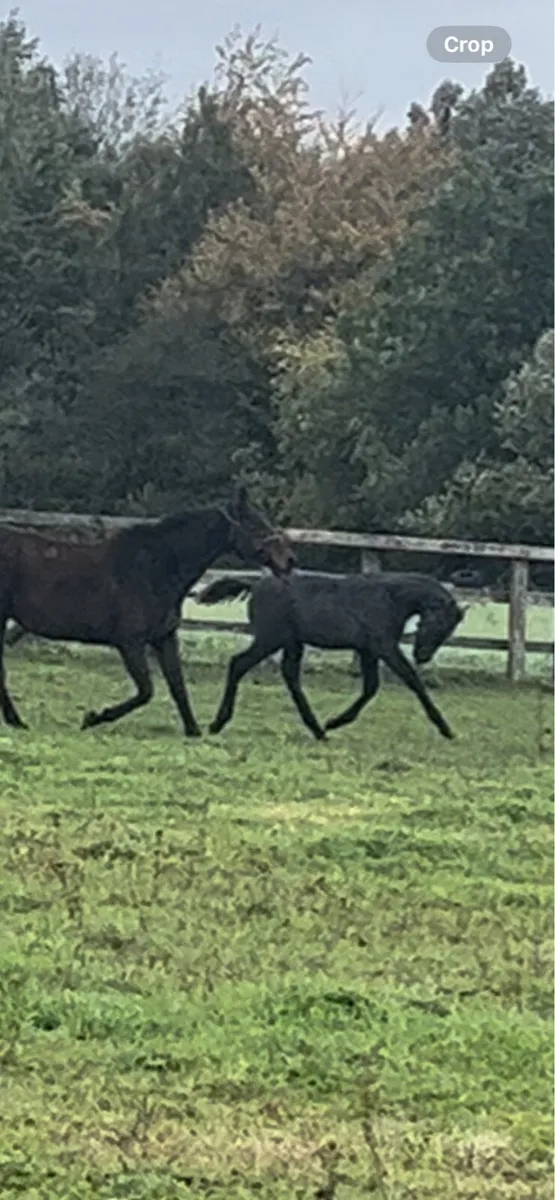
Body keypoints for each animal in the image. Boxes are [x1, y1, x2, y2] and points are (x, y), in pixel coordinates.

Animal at [0, 485, 296, 734]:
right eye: (255, 524)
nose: (289, 560)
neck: (157, 569)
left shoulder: (164, 638)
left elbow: (177, 685)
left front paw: (194, 731)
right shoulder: (130, 642)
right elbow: (146, 691)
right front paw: (94, 718)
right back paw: (16, 721)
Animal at [197, 570, 467, 741]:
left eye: (448, 630)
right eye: (438, 624)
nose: (422, 656)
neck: (388, 598)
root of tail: (255, 585)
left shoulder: (368, 651)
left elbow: (371, 687)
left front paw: (335, 722)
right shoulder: (385, 647)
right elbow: (413, 682)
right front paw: (446, 729)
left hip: (291, 644)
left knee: (290, 677)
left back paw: (318, 730)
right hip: (270, 639)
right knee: (238, 664)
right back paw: (218, 723)